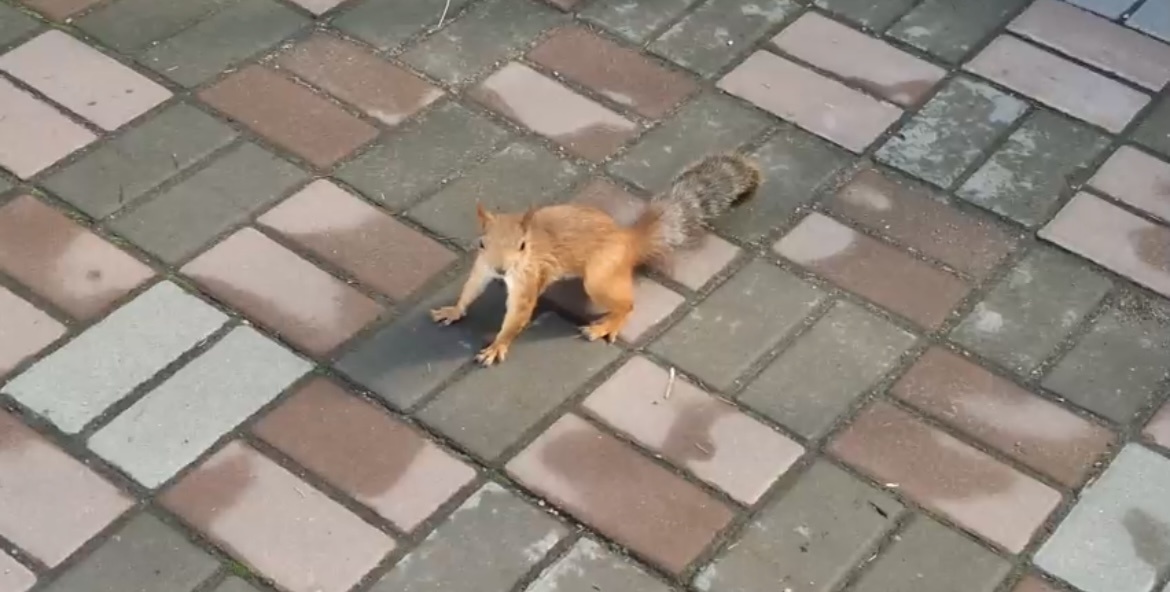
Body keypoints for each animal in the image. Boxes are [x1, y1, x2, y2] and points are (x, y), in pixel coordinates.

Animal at [431, 152, 762, 366]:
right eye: (482, 242)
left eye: (523, 246)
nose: (501, 269)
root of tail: (627, 240)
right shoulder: (482, 266)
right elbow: (471, 288)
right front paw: (453, 310)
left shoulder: (528, 278)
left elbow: (517, 316)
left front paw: (497, 346)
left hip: (599, 277)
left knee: (627, 305)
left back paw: (606, 325)